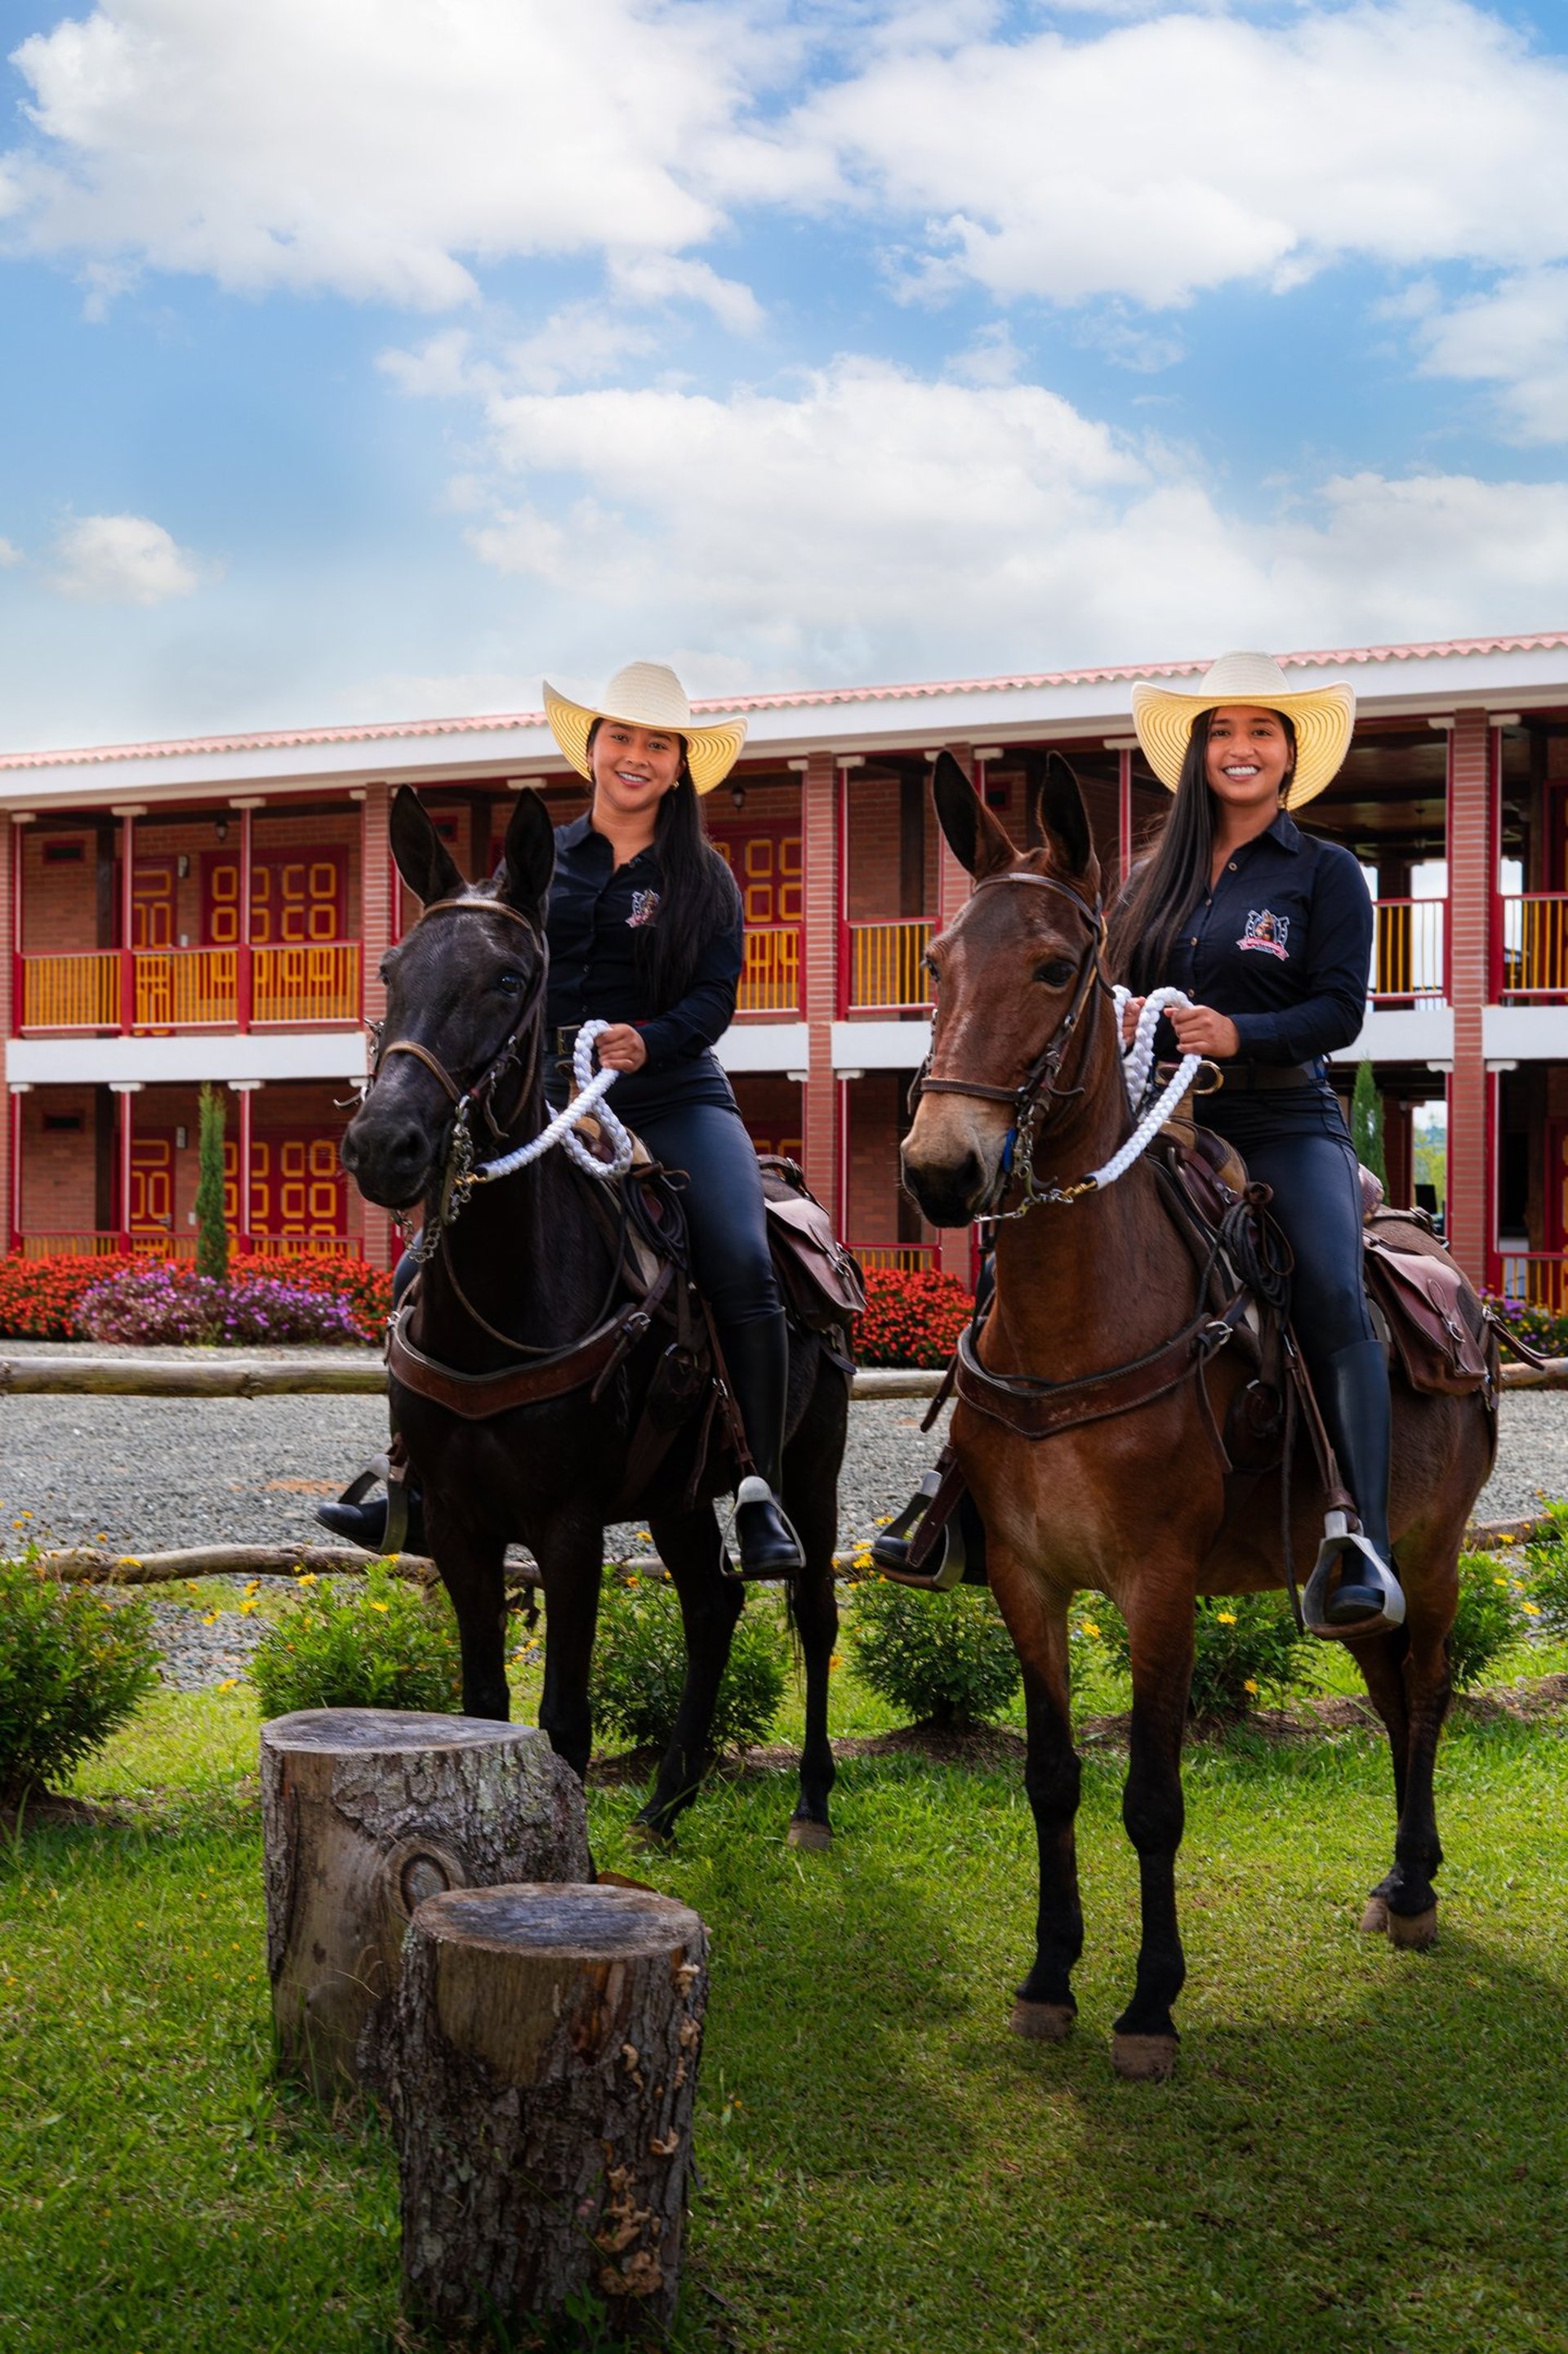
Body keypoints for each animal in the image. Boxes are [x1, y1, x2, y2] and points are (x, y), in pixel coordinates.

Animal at [339, 785, 849, 1847]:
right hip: (676, 1491)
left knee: (810, 1606)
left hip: (811, 1465)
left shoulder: (568, 1527)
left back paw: (811, 1802)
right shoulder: (460, 1525)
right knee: (713, 1603)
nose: (384, 1144)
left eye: (506, 976)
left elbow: (563, 1720)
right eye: (393, 968)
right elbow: (483, 1707)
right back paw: (668, 1798)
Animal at [899, 751, 1496, 2082]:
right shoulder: (1025, 1577)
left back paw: (1415, 1887)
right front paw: (1049, 1977)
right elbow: (1054, 1779)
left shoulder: (1158, 1582)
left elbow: (1154, 1796)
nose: (940, 1170)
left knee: (1426, 1693)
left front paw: (1148, 2003)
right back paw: (1401, 1877)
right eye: (938, 963)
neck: (1077, 1321)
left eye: (1055, 967)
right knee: (1390, 1695)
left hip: (1432, 1556)